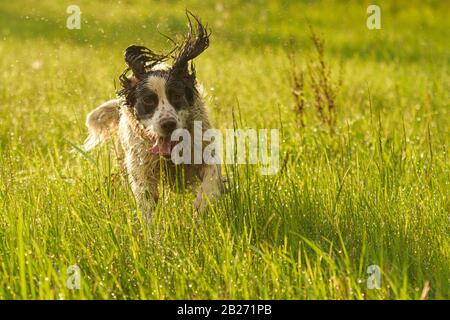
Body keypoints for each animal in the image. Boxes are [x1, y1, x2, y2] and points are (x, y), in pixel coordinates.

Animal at [82, 13, 223, 222]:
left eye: (176, 96)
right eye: (148, 100)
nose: (168, 124)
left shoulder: (203, 150)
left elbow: (211, 178)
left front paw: (200, 206)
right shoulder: (141, 169)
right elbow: (146, 202)